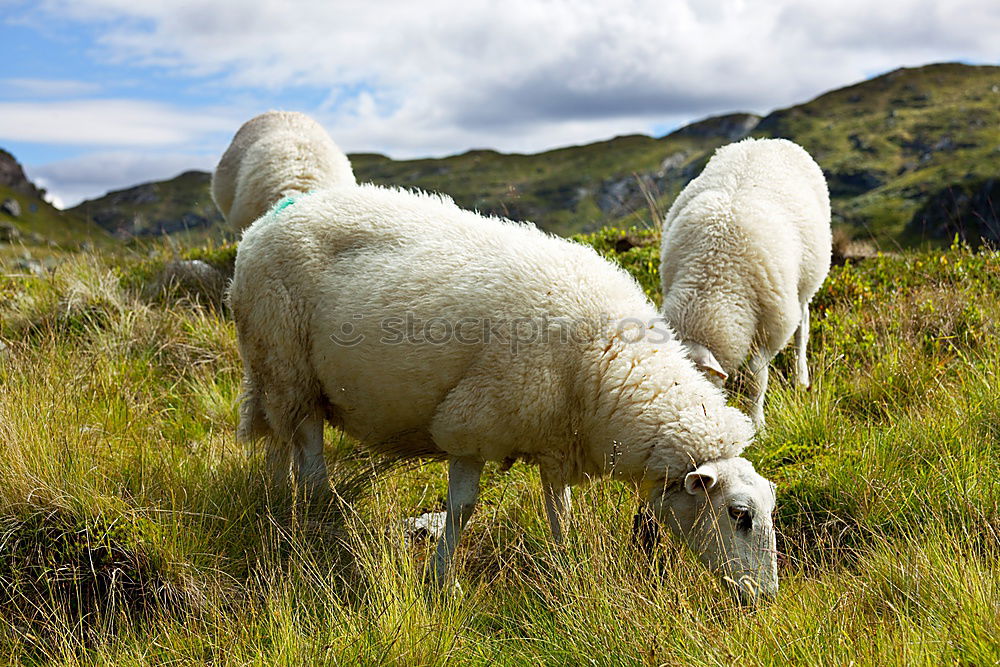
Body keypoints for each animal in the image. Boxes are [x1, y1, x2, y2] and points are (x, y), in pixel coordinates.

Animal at [229, 185, 780, 604]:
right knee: (309, 460)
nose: (764, 600)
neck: (605, 366)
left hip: (281, 379)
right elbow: (462, 508)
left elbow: (559, 509)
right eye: (740, 515)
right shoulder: (472, 422)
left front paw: (567, 566)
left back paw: (279, 504)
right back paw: (320, 527)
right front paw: (441, 580)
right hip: (286, 365)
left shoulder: (557, 436)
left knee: (283, 447)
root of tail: (259, 228)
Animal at [660, 137, 832, 428]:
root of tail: (766, 140)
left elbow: (756, 377)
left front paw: (757, 423)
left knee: (803, 326)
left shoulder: (774, 326)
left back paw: (801, 377)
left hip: (806, 283)